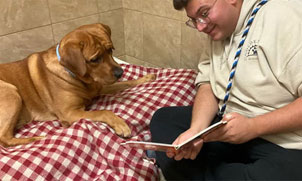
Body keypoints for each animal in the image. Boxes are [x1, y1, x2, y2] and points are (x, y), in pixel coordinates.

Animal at [0, 23, 156, 147]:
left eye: (110, 50)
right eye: (95, 59)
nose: (120, 72)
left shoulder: (99, 88)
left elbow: (127, 83)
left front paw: (146, 78)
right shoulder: (70, 113)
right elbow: (103, 112)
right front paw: (121, 124)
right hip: (11, 92)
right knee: (4, 139)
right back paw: (38, 138)